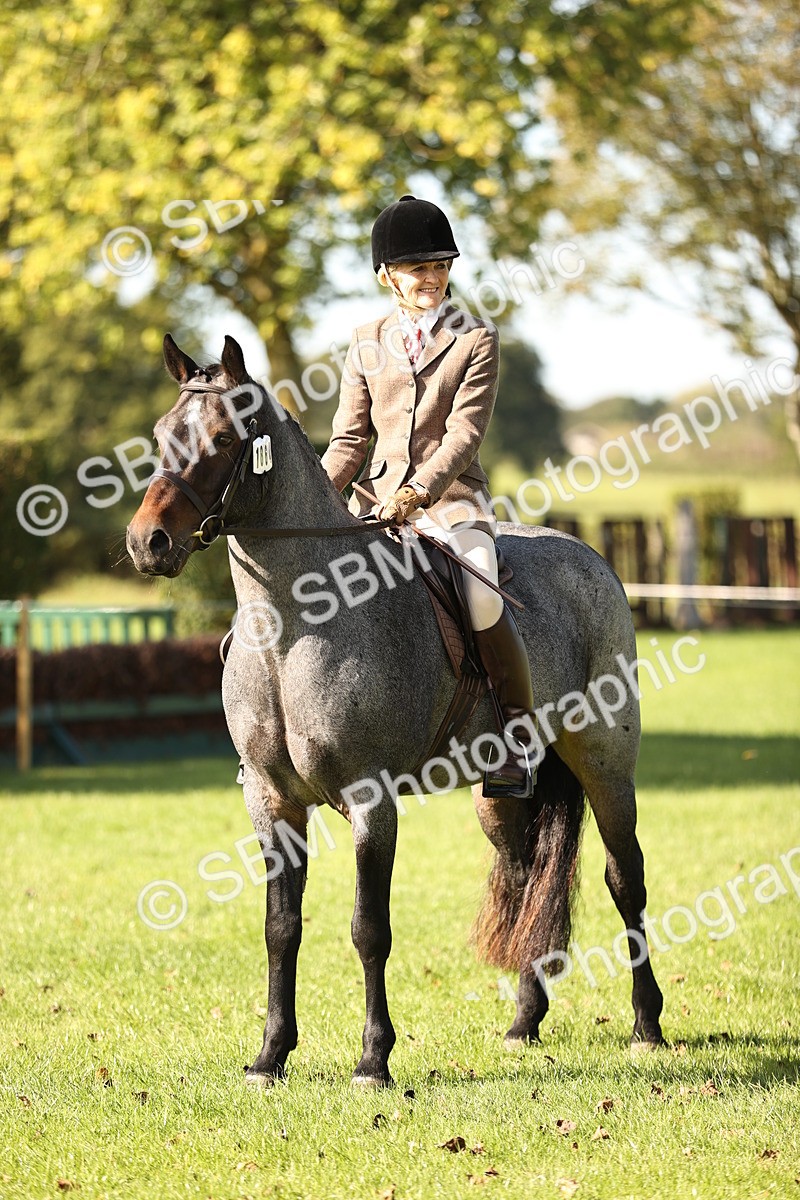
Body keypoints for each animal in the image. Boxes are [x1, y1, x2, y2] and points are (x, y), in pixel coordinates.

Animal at [126, 333, 665, 1088]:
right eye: (160, 435)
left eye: (225, 437)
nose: (148, 542)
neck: (295, 626)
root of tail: (589, 556)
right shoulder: (271, 801)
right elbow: (280, 928)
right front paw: (270, 1055)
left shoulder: (370, 800)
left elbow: (368, 929)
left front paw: (373, 1059)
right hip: (500, 798)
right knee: (527, 878)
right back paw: (523, 1022)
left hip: (606, 766)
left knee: (626, 879)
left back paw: (648, 1024)